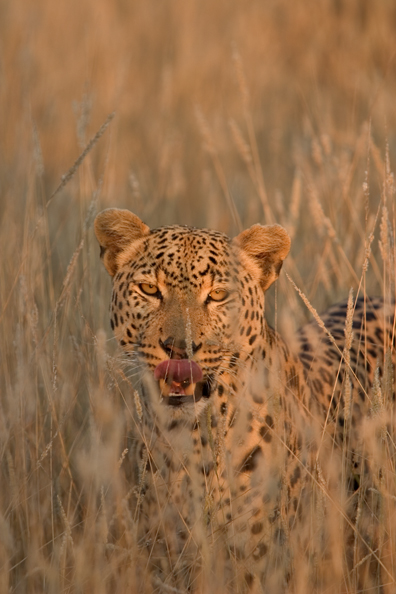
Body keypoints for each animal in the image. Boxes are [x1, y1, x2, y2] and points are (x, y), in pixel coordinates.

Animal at [94, 208, 394, 592]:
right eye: (149, 289)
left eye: (219, 295)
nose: (179, 349)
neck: (190, 437)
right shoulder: (163, 558)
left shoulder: (257, 566)